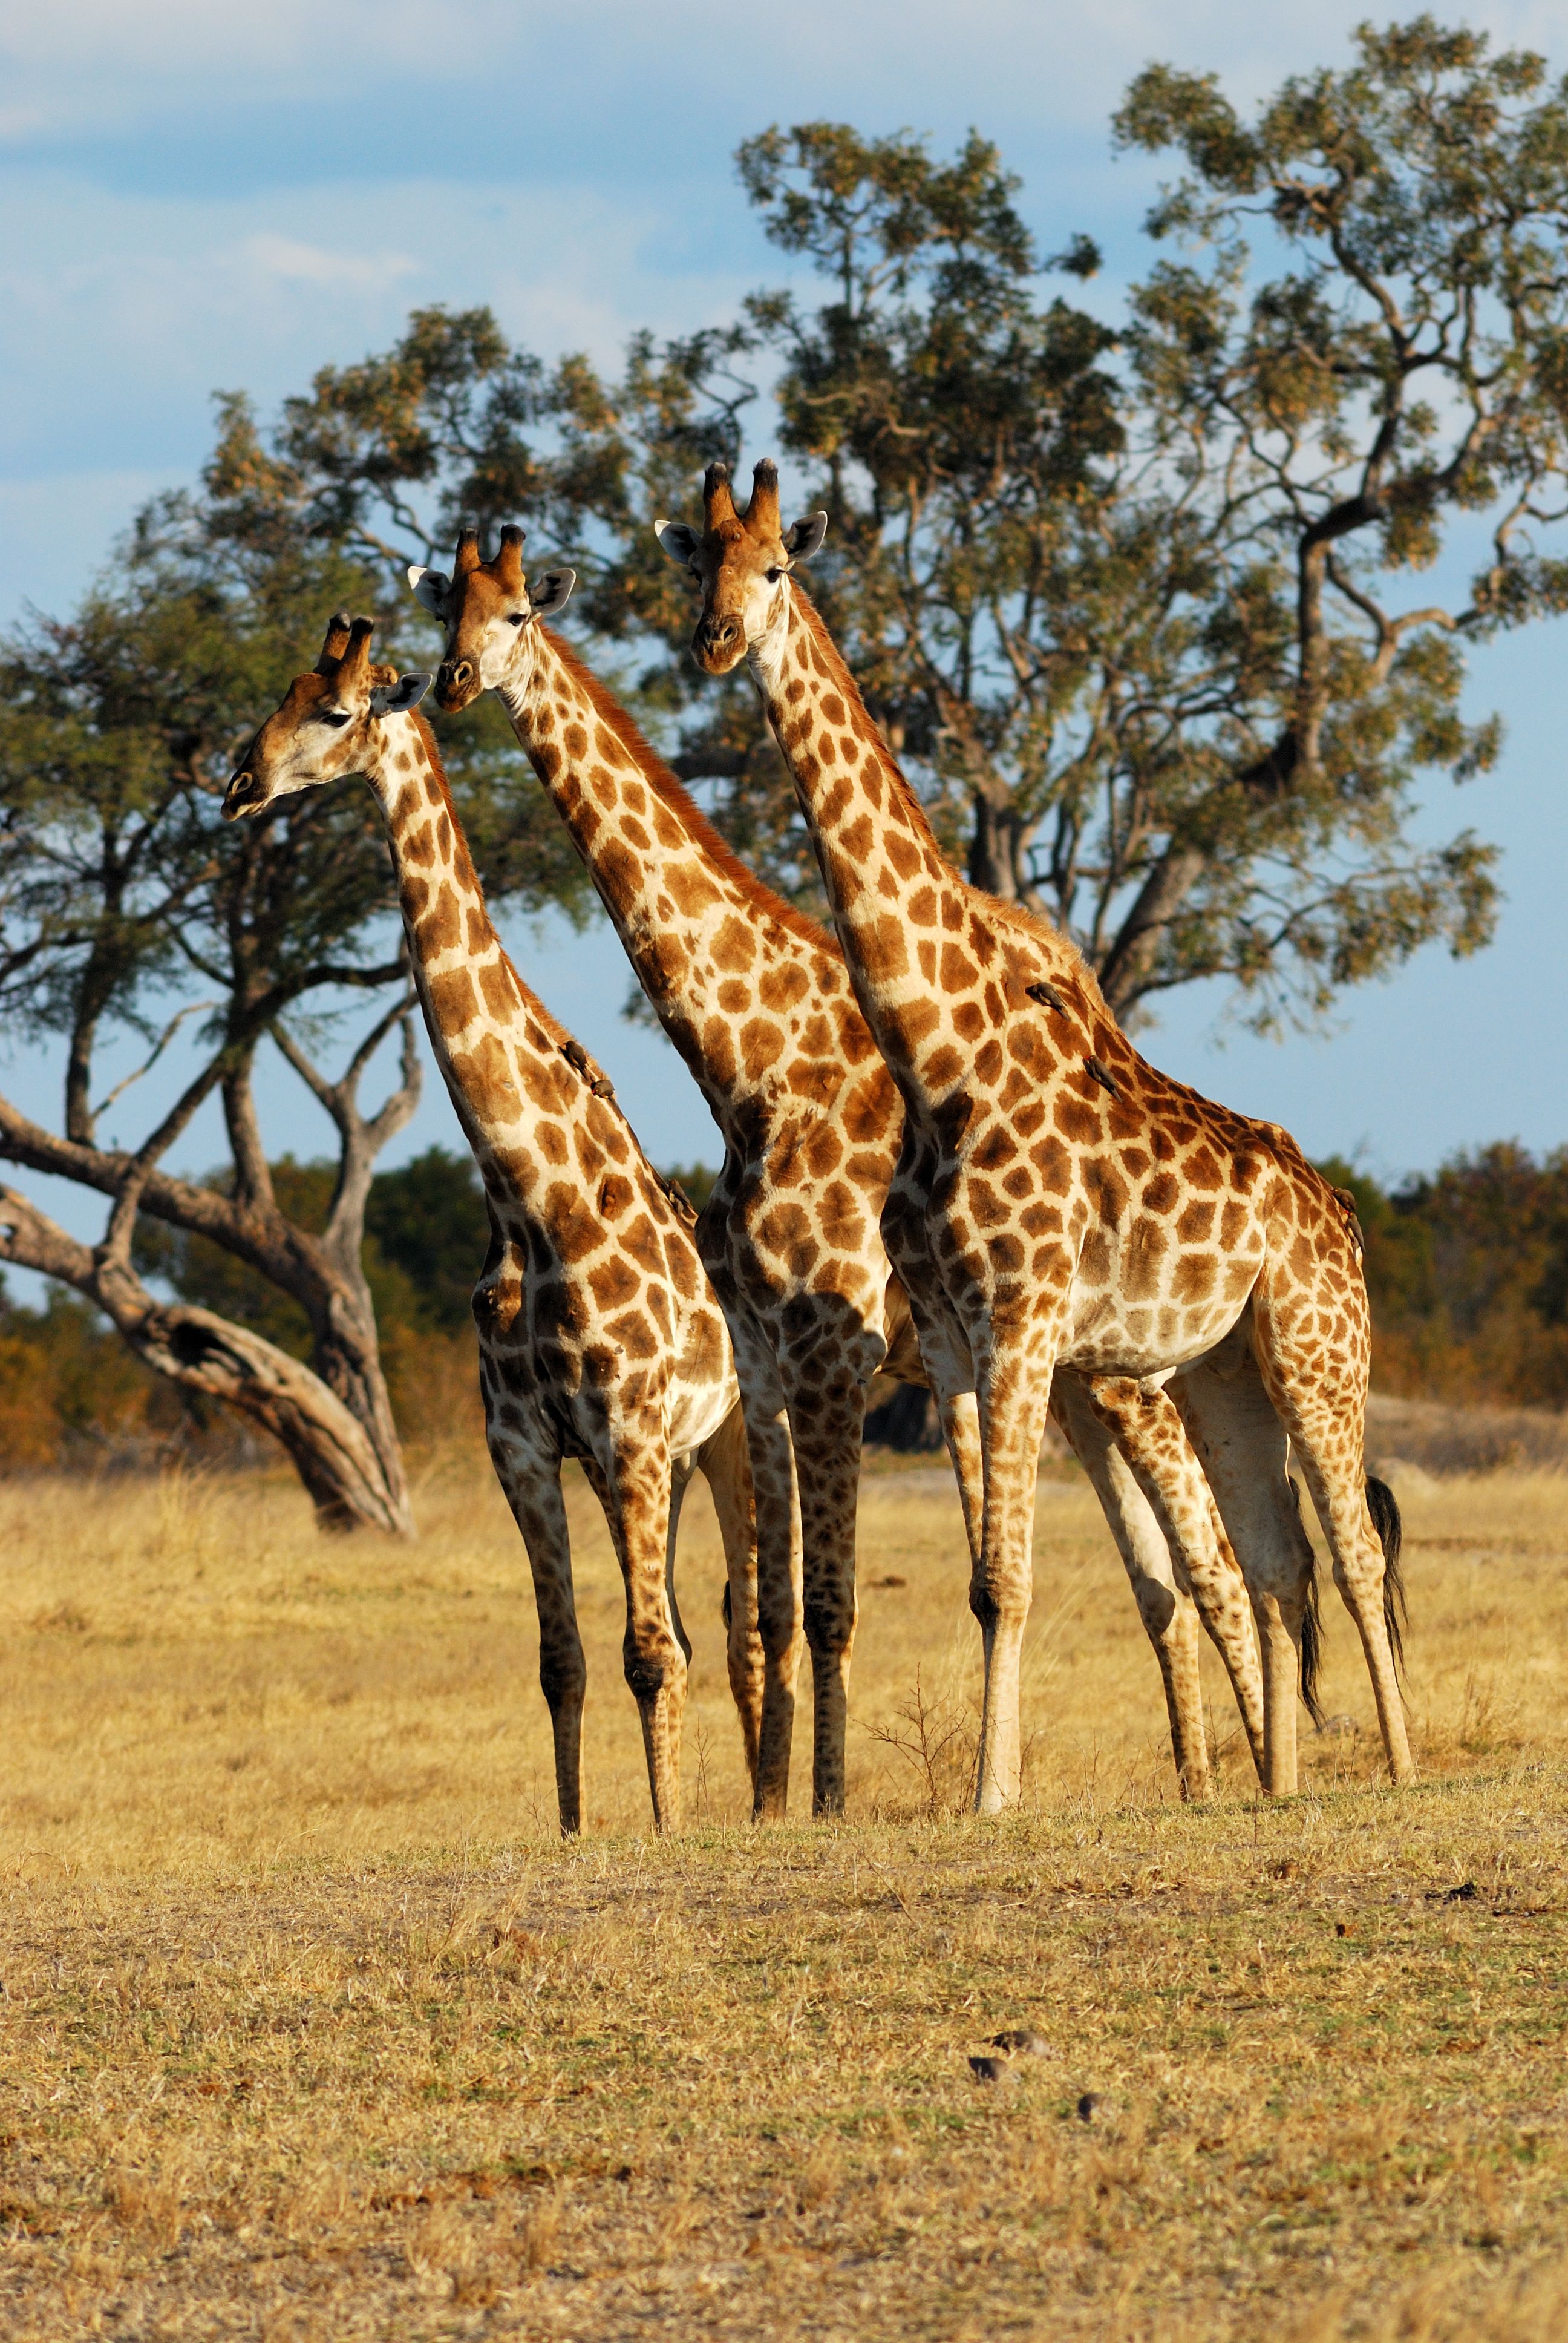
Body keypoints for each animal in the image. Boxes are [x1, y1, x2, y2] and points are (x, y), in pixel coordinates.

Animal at [222, 611, 767, 1836]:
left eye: (337, 711)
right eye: (278, 695)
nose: (237, 783)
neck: (530, 1198)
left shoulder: (630, 1433)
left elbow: (652, 1655)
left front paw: (667, 1831)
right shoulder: (524, 1446)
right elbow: (564, 1660)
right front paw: (576, 1830)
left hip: (731, 1442)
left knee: (744, 1626)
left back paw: (769, 1802)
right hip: (666, 1461)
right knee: (700, 1624)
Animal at [409, 525, 1266, 1813]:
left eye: (514, 613)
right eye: (442, 613)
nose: (453, 682)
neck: (758, 1038)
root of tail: (1090, 995)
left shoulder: (828, 1357)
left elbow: (814, 1603)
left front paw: (818, 1798)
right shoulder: (771, 1362)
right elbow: (770, 1606)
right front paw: (781, 1802)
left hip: (1108, 1360)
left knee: (1202, 1540)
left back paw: (1246, 1768)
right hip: (1063, 1369)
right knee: (1154, 1561)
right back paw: (1200, 1776)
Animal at [659, 459, 1412, 1807]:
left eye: (779, 564)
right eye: (701, 563)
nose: (716, 640)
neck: (939, 1060)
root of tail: (1340, 1212)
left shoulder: (1020, 1322)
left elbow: (1011, 1578)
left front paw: (988, 1794)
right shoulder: (959, 1341)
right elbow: (984, 1581)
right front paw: (993, 1786)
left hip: (1315, 1349)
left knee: (1350, 1549)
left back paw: (1400, 1766)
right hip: (1221, 1366)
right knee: (1277, 1558)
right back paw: (1284, 1782)